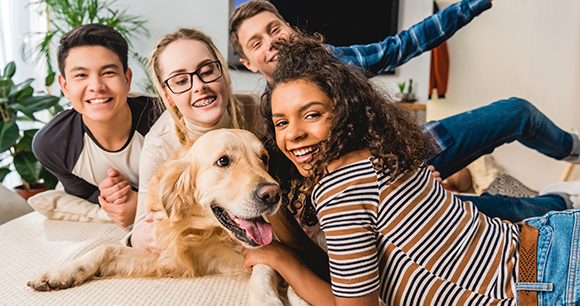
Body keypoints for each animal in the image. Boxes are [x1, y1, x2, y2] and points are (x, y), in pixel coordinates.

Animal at [27, 129, 308, 306]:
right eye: (223, 161)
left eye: (264, 159)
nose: (273, 194)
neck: (200, 230)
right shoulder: (171, 256)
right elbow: (105, 249)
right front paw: (60, 272)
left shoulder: (261, 250)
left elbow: (263, 271)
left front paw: (268, 300)